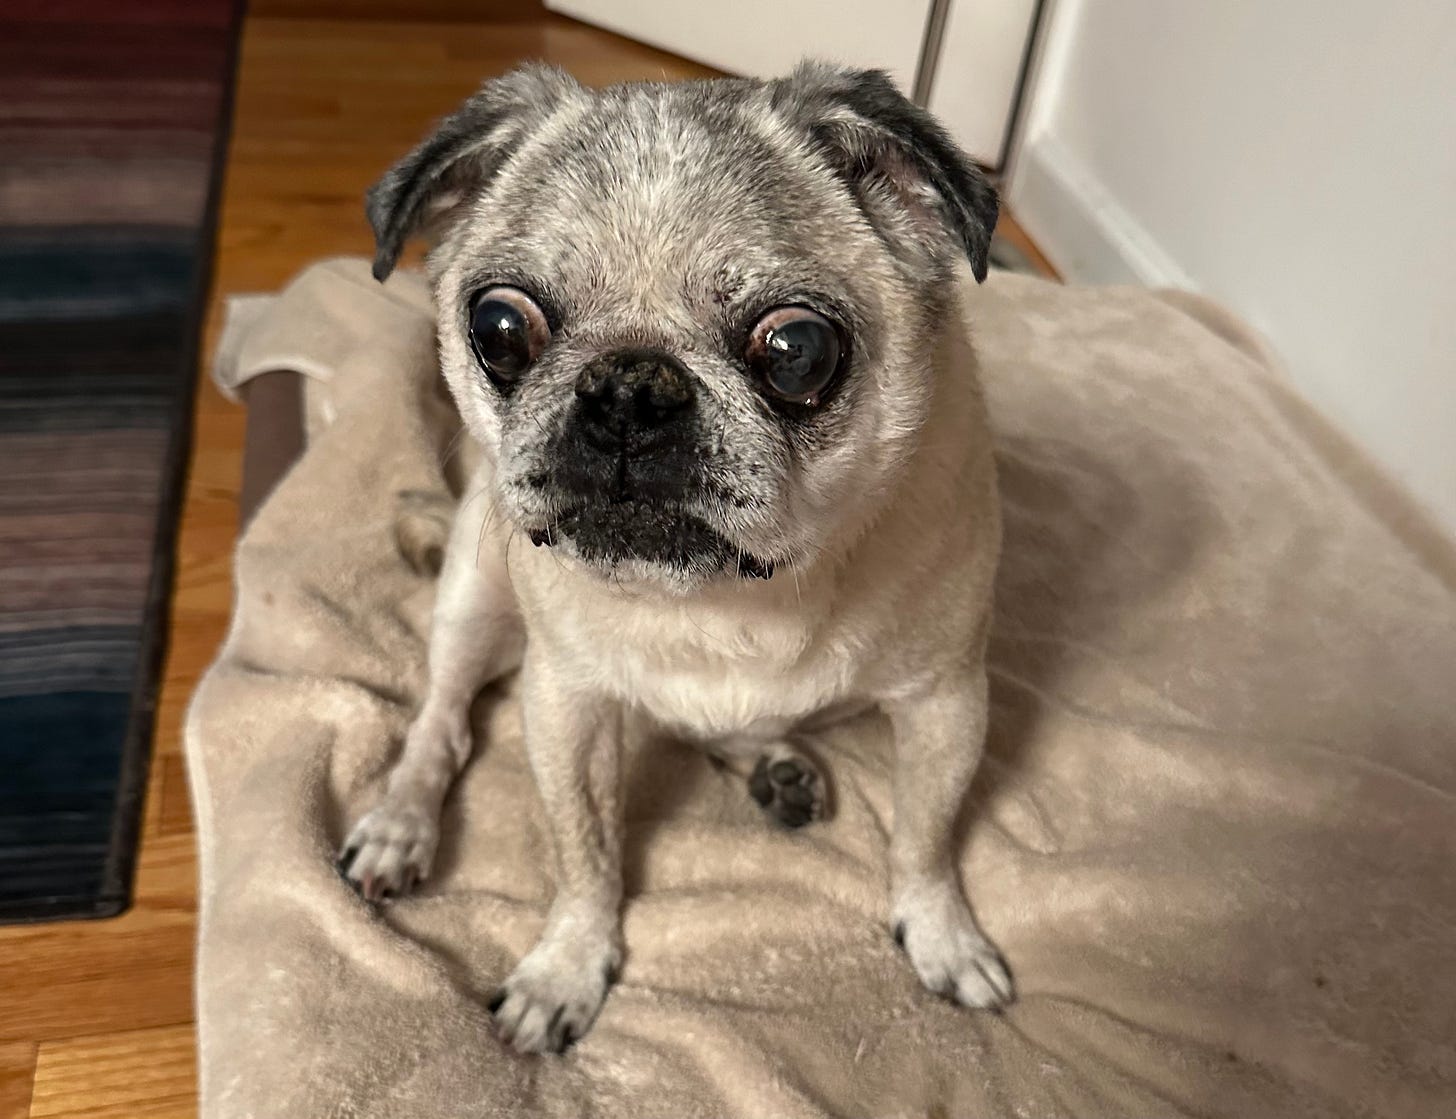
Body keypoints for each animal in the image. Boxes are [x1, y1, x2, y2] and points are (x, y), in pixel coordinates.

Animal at [339, 61, 1013, 1053]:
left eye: (796, 349)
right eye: (498, 329)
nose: (629, 387)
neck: (734, 597)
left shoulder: (946, 703)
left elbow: (926, 838)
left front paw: (942, 934)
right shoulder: (567, 706)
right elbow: (585, 855)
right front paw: (568, 965)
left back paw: (776, 765)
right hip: (471, 592)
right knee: (442, 719)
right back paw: (400, 821)